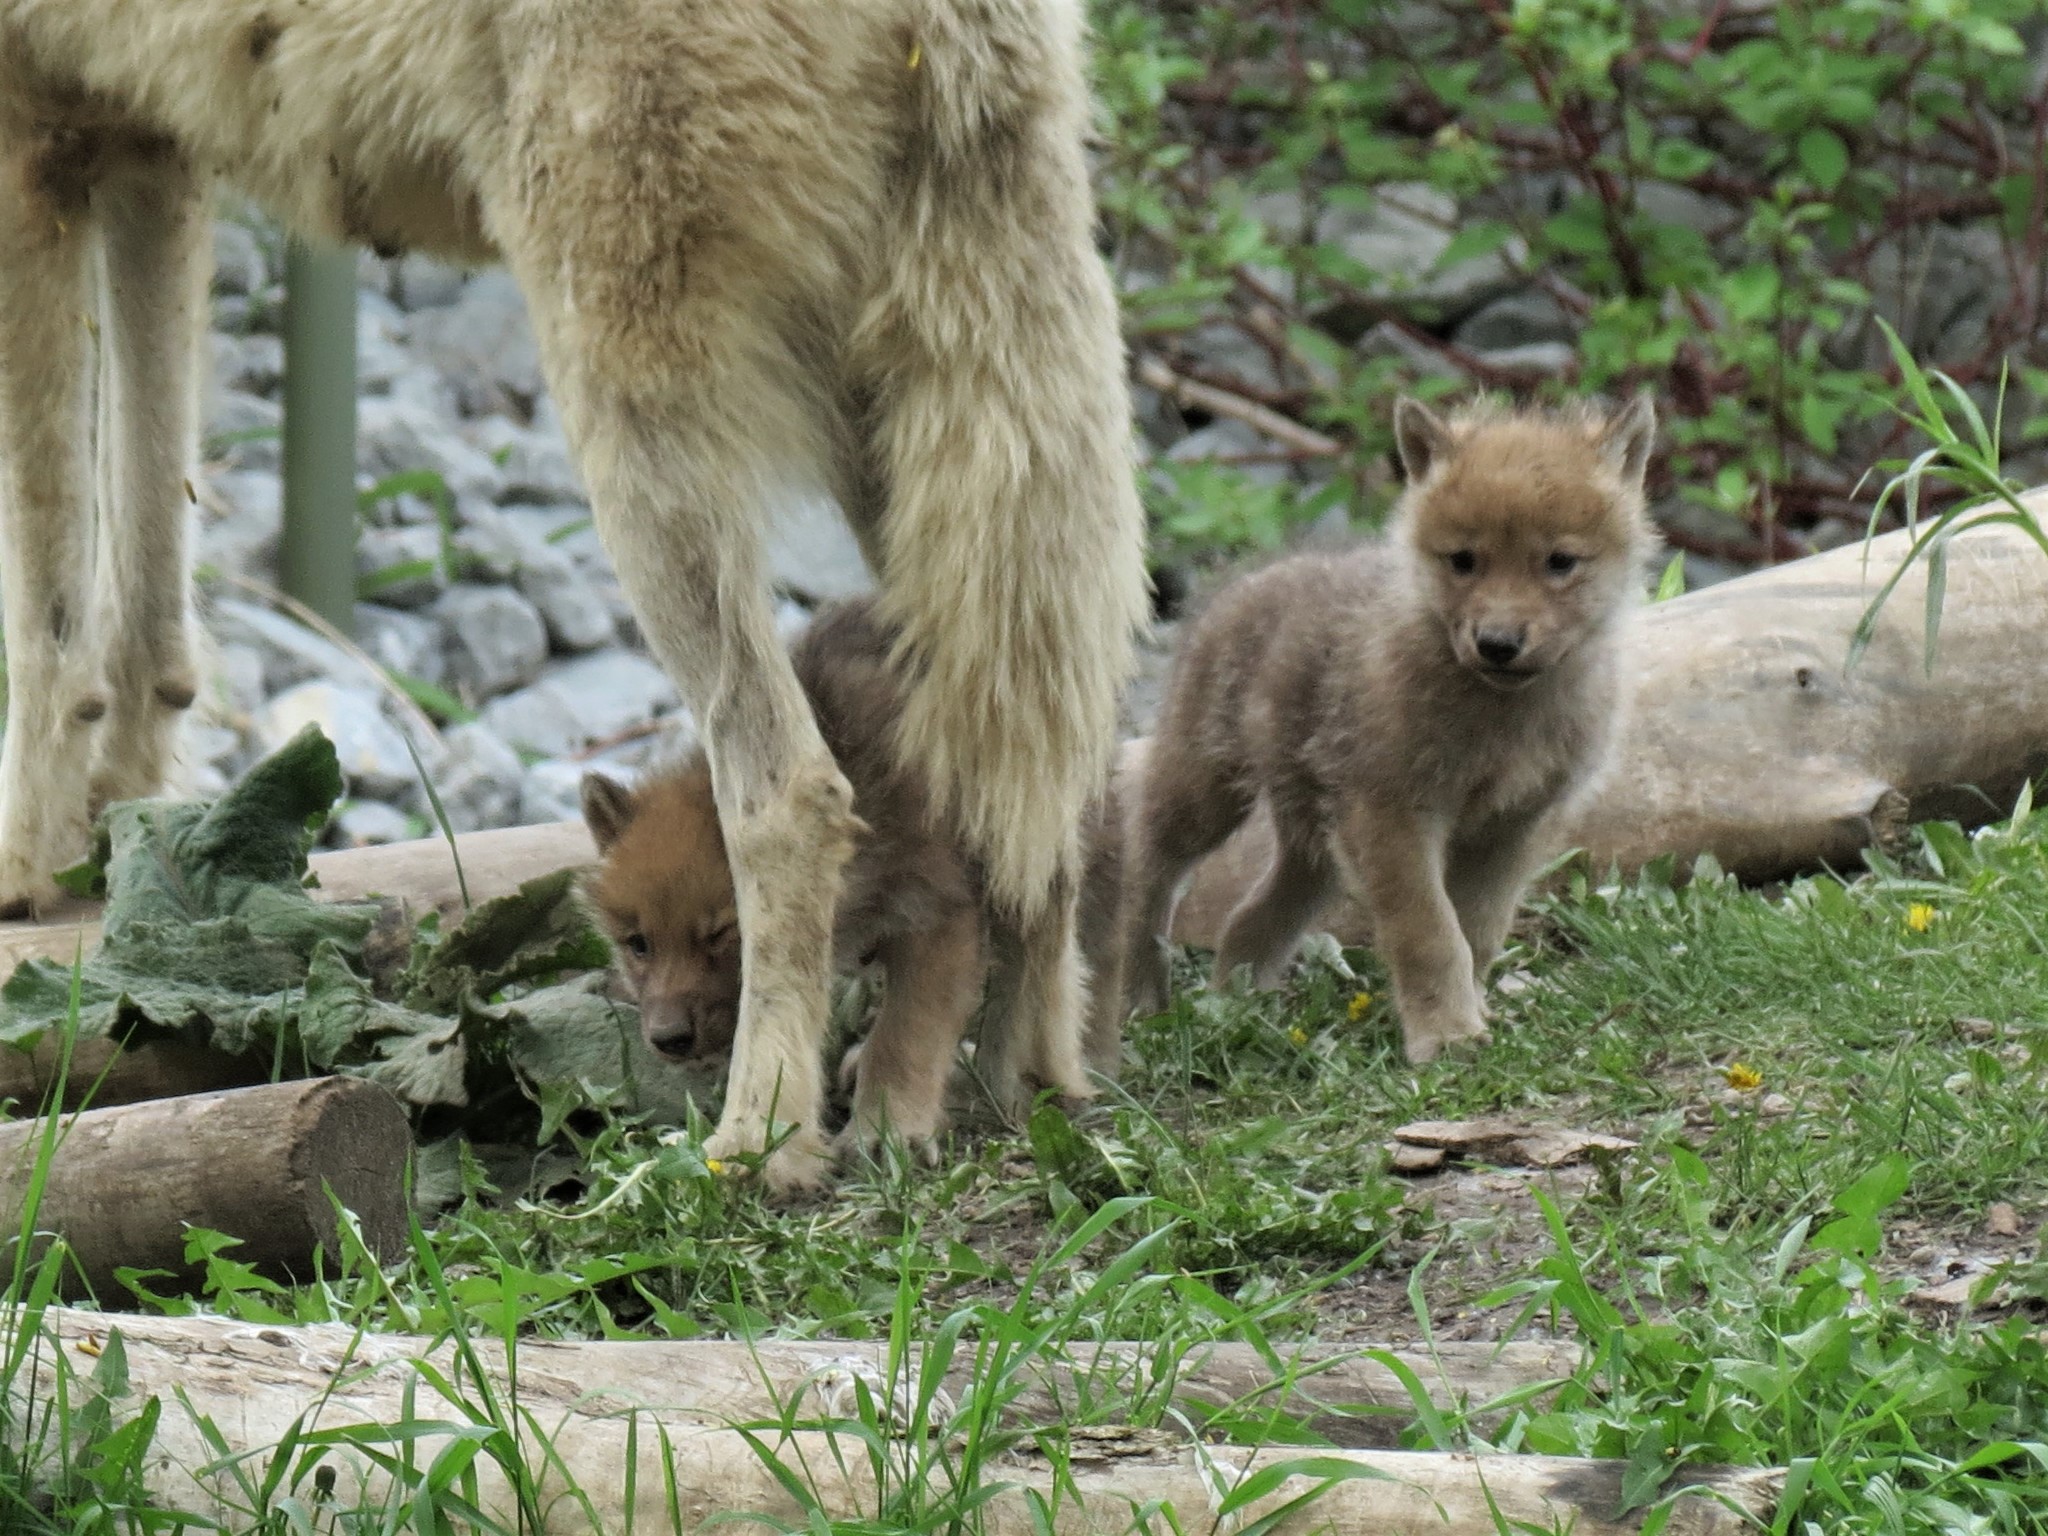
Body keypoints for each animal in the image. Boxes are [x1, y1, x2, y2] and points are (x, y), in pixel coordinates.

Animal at [580, 599, 1129, 1156]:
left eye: (721, 934)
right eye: (638, 944)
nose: (669, 1040)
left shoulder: (937, 917)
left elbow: (903, 1035)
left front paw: (886, 1133)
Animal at [1117, 396, 1655, 1063]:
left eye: (1560, 562)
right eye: (1463, 560)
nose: (1497, 644)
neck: (1502, 717)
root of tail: (1246, 579)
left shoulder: (1515, 825)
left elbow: (1476, 931)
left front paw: (1470, 1017)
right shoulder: (1392, 812)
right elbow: (1429, 934)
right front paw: (1445, 1036)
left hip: (1317, 839)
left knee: (1248, 921)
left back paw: (1240, 1010)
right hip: (1205, 789)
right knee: (1147, 865)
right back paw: (1139, 994)